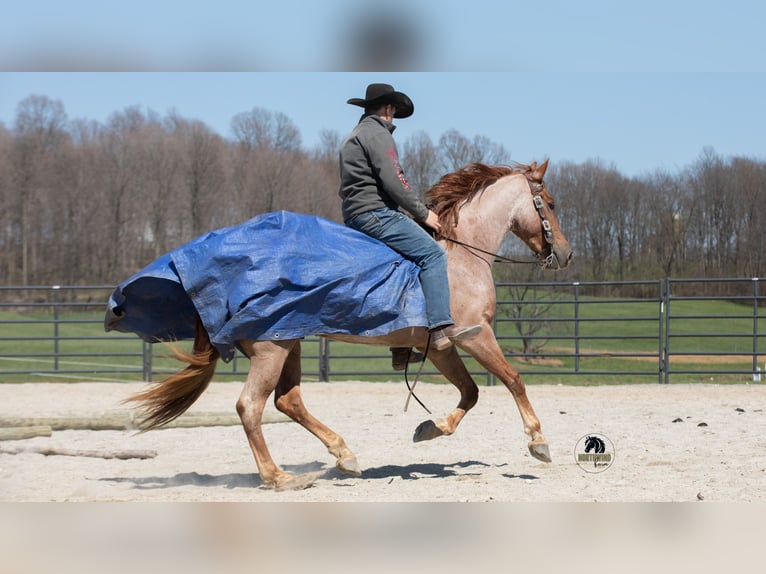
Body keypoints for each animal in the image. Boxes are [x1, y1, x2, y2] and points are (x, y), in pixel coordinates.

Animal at [126, 160, 573, 491]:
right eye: (550, 203)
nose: (567, 254)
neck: (459, 256)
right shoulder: (475, 336)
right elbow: (513, 379)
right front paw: (538, 442)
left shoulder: (440, 349)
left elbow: (472, 392)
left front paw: (430, 428)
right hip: (271, 348)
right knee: (250, 406)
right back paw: (279, 477)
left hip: (288, 343)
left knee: (288, 402)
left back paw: (344, 456)